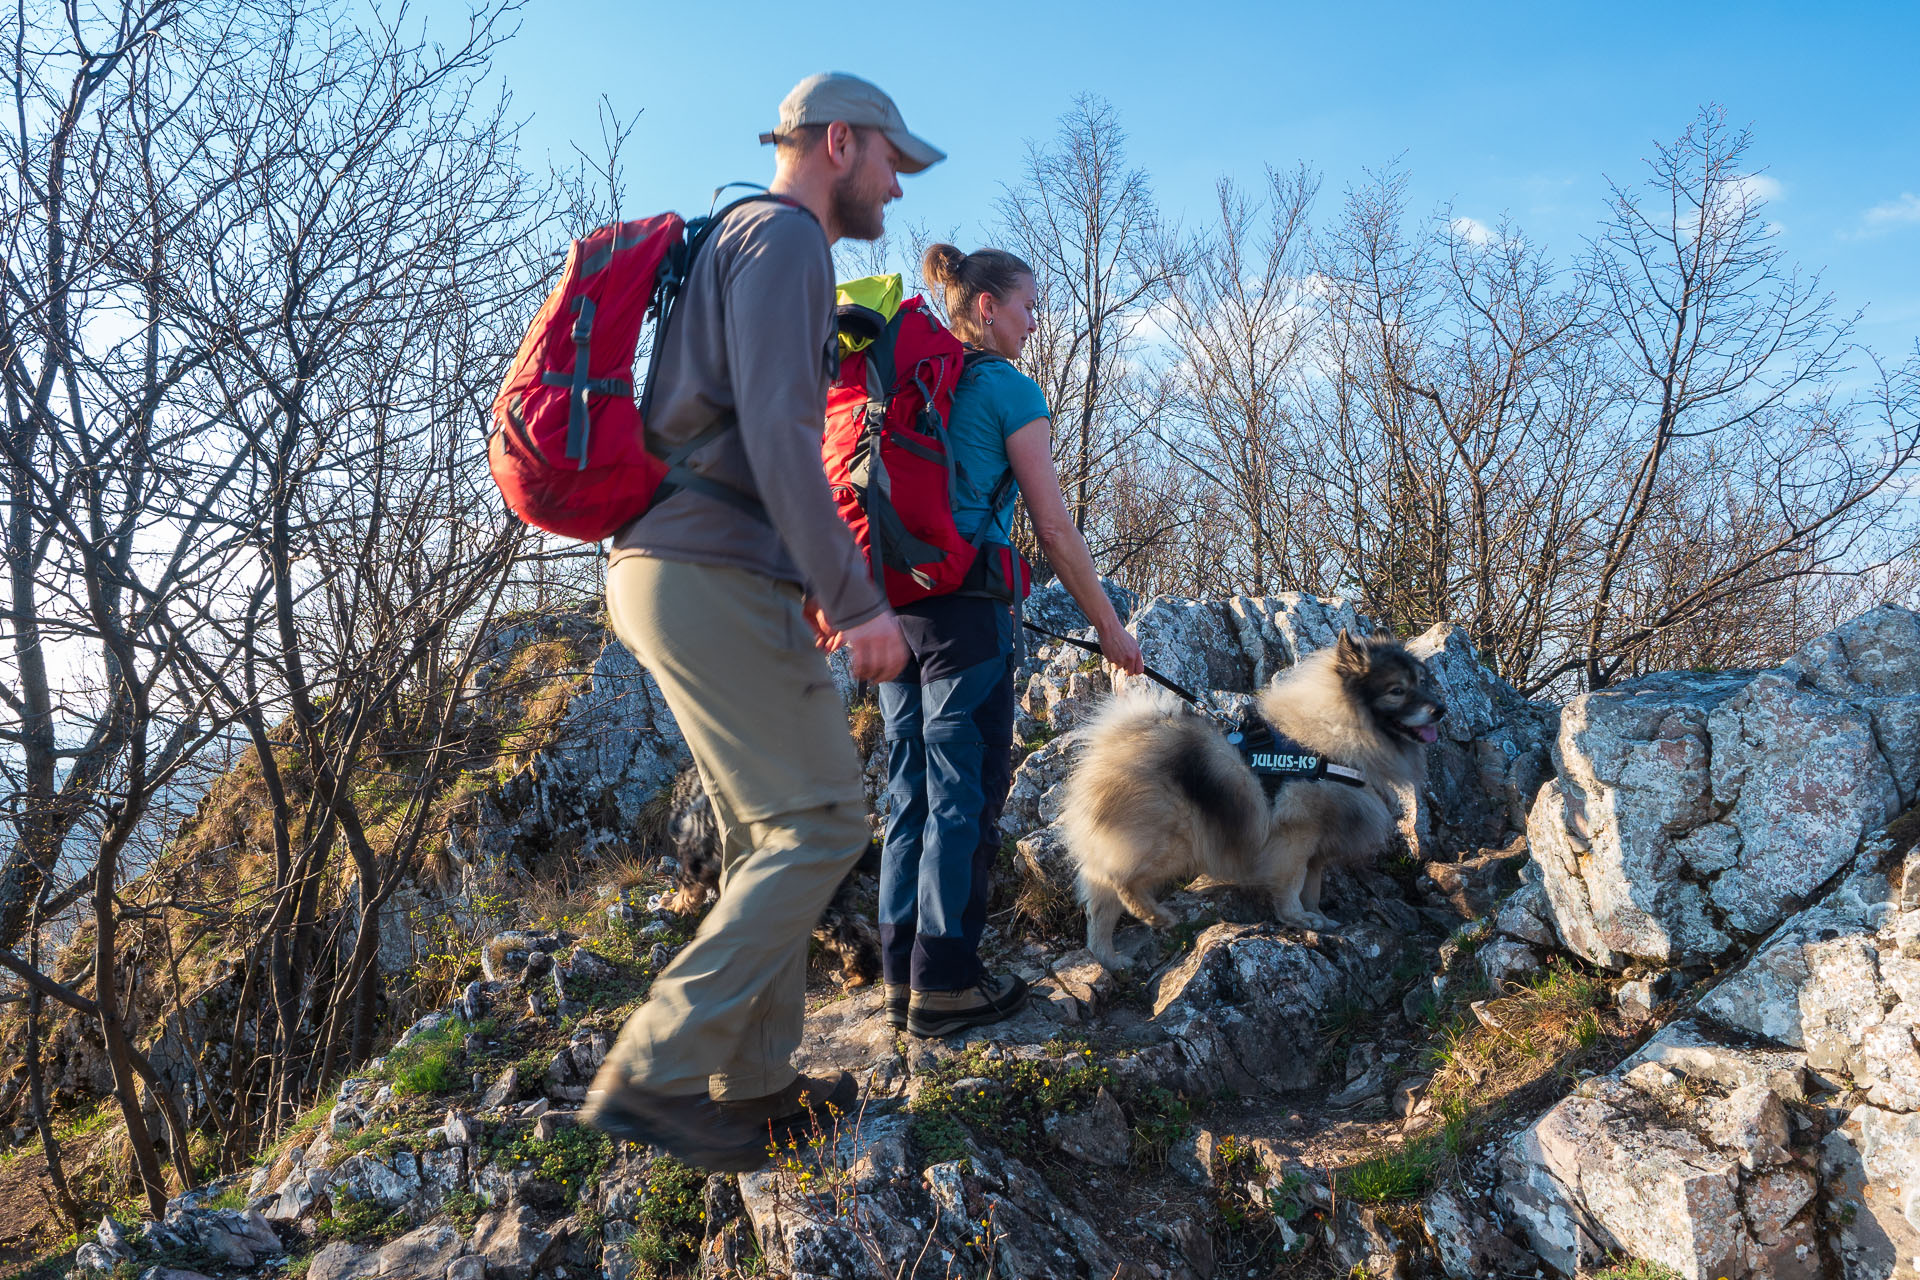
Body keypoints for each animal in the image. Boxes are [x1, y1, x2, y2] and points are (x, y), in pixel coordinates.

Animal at [1059, 629, 1443, 971]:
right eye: (1397, 690)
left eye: (1423, 682)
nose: (1440, 709)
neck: (1337, 734)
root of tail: (1109, 750)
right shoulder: (1295, 838)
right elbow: (1291, 884)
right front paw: (1299, 918)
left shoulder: (1316, 848)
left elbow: (1313, 886)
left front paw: (1317, 916)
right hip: (1170, 845)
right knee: (1121, 881)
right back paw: (1158, 916)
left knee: (1099, 910)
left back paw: (1111, 960)